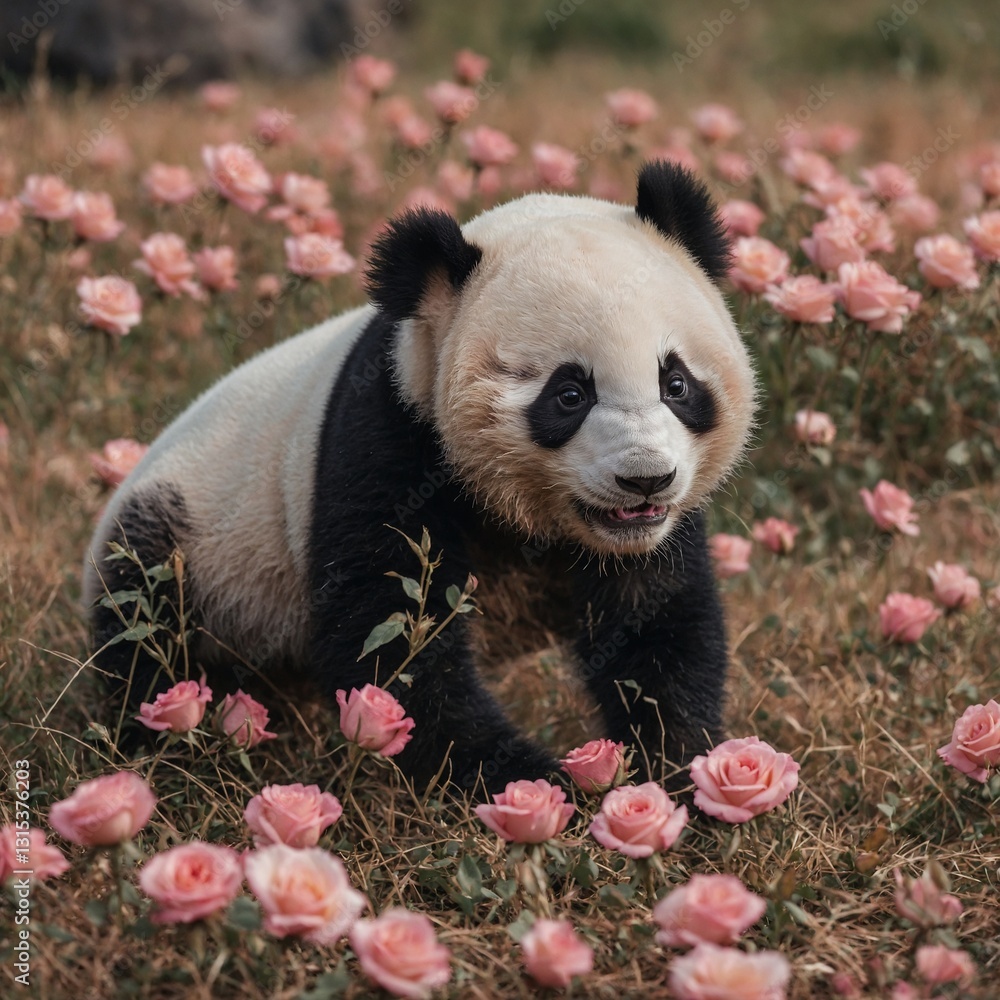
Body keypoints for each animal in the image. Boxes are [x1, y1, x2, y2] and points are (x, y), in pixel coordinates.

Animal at [83, 161, 756, 795]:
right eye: (569, 394)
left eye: (676, 383)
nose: (646, 480)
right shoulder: (390, 434)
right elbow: (391, 642)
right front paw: (534, 781)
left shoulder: (646, 540)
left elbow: (659, 623)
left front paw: (674, 769)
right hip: (195, 544)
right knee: (148, 631)